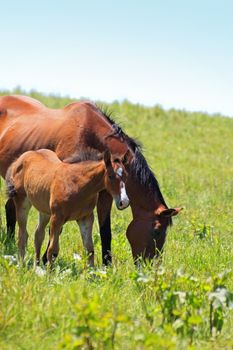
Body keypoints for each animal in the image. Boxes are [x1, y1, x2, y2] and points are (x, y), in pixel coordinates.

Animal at [0, 94, 182, 264]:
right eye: (156, 231)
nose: (151, 266)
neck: (93, 136)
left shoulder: (106, 195)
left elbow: (105, 231)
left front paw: (107, 267)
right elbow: (57, 230)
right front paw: (45, 260)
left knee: (11, 207)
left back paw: (9, 242)